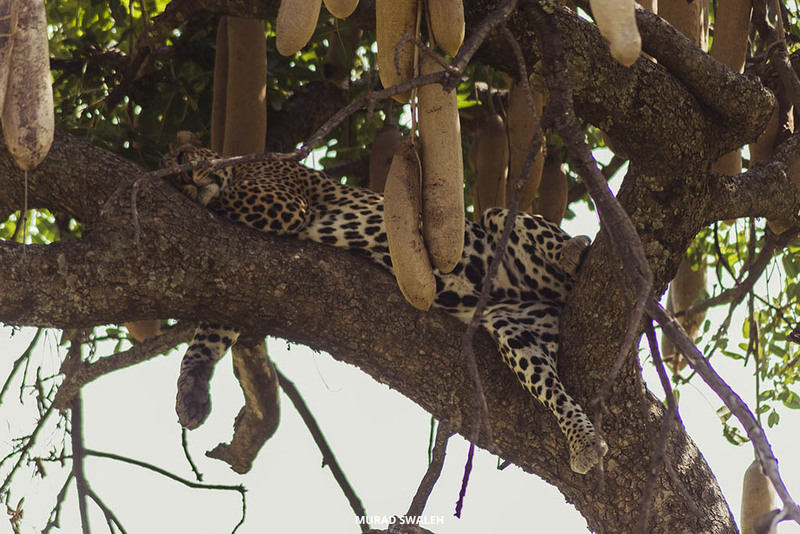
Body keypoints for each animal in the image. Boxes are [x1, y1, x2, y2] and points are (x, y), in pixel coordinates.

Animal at [163, 144, 608, 474]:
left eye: (183, 163)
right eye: (173, 177)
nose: (187, 179)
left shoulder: (282, 201)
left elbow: (229, 202)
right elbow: (211, 331)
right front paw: (190, 393)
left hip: (501, 223)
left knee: (524, 227)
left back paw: (573, 250)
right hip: (513, 327)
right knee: (552, 388)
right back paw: (583, 441)